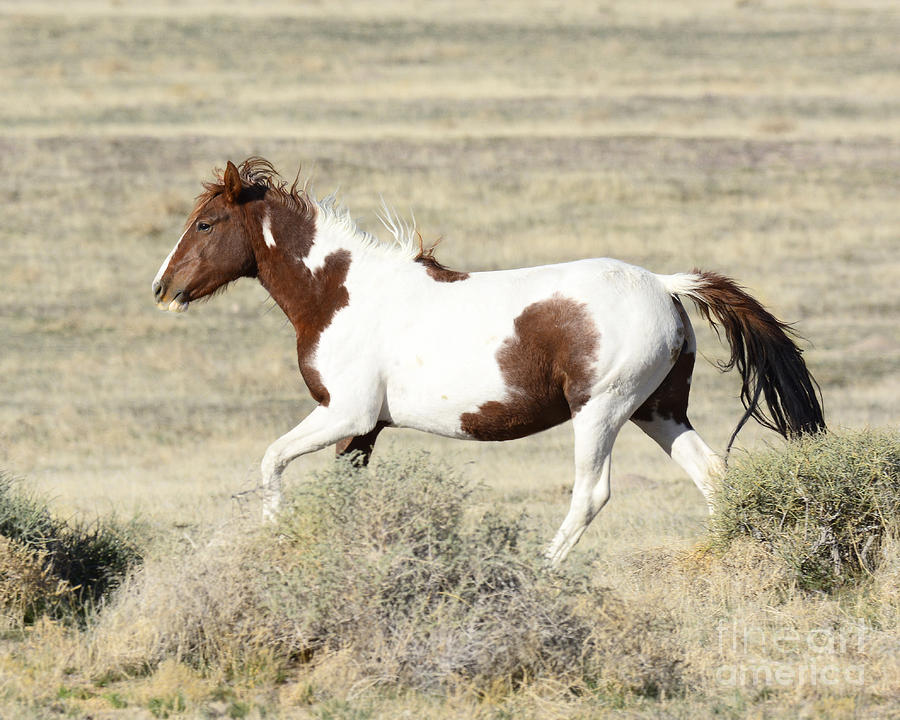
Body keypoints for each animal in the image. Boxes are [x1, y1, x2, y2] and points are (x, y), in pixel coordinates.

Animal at [151, 156, 828, 564]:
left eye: (207, 224)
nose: (162, 288)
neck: (341, 294)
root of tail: (664, 284)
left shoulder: (345, 413)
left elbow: (270, 460)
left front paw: (274, 538)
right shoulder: (364, 429)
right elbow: (344, 491)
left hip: (600, 413)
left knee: (592, 493)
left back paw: (544, 568)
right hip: (658, 412)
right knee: (712, 474)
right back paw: (719, 555)